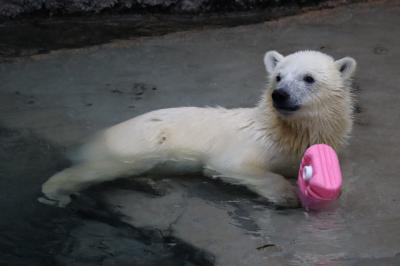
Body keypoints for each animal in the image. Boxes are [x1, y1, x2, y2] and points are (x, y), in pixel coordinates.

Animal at [40, 50, 356, 208]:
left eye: (308, 78)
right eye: (278, 76)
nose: (280, 95)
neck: (285, 130)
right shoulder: (250, 144)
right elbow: (232, 165)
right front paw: (287, 195)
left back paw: (152, 184)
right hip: (134, 145)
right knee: (104, 168)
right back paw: (56, 193)